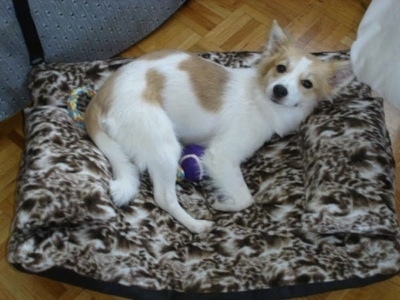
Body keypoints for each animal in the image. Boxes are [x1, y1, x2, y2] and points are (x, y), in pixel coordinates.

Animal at [84, 21, 354, 233]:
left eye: (307, 84)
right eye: (281, 68)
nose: (280, 90)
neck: (260, 98)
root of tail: (100, 98)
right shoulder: (220, 156)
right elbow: (246, 198)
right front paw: (224, 203)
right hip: (163, 142)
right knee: (164, 197)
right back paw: (195, 224)